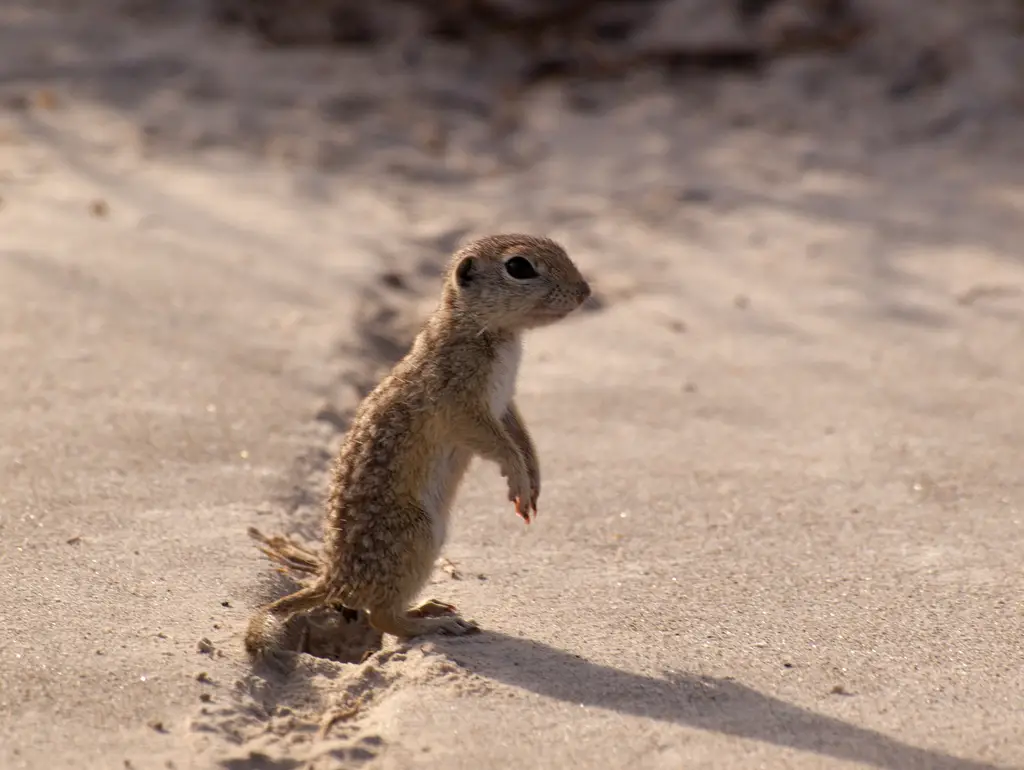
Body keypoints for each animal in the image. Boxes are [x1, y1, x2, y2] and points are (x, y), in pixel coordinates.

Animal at [245, 234, 591, 658]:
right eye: (519, 267)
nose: (585, 291)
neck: (477, 328)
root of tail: (333, 580)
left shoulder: (504, 404)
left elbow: (521, 437)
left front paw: (534, 479)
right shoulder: (464, 407)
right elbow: (498, 445)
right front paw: (518, 481)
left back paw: (429, 608)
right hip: (418, 535)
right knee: (381, 617)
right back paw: (435, 624)